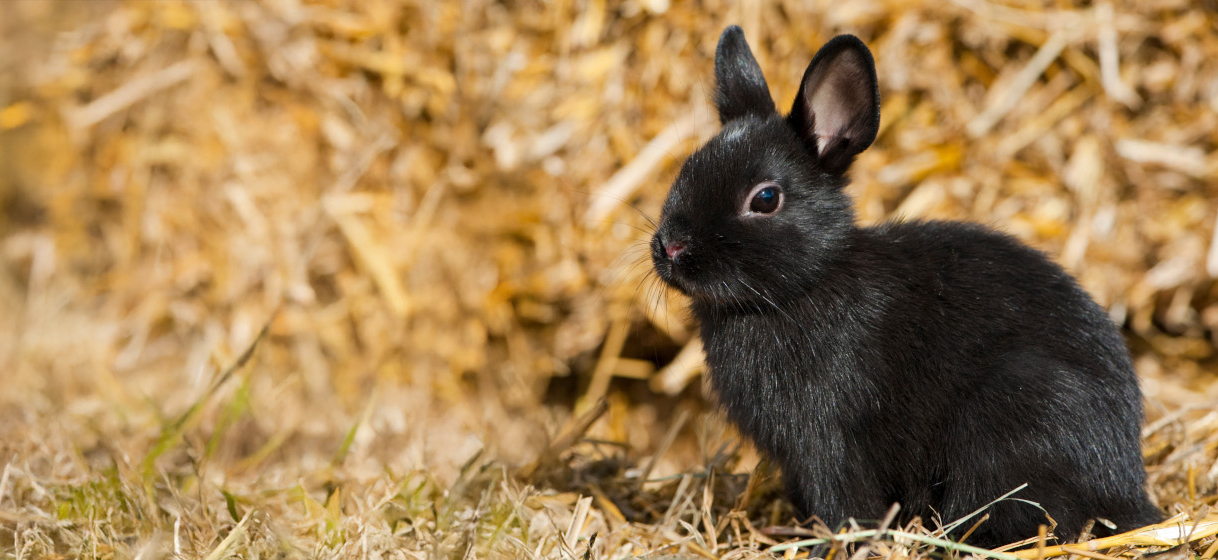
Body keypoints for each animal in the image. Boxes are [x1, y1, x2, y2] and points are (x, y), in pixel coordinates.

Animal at [649, 26, 1161, 548]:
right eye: (687, 167)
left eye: (766, 198)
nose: (670, 247)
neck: (806, 285)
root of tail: (1122, 484)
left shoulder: (827, 438)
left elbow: (843, 503)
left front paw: (836, 546)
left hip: (1018, 413)